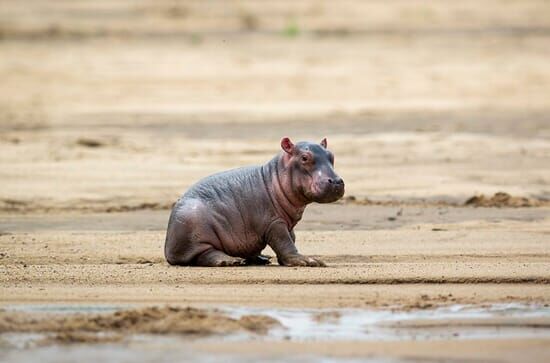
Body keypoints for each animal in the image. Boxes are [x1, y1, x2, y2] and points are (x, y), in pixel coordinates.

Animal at [164, 137, 344, 268]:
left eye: (332, 156)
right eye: (305, 158)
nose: (336, 181)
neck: (275, 177)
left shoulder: (288, 223)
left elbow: (291, 238)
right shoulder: (274, 223)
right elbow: (284, 242)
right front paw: (308, 261)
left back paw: (261, 259)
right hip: (193, 228)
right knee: (204, 254)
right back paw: (231, 261)